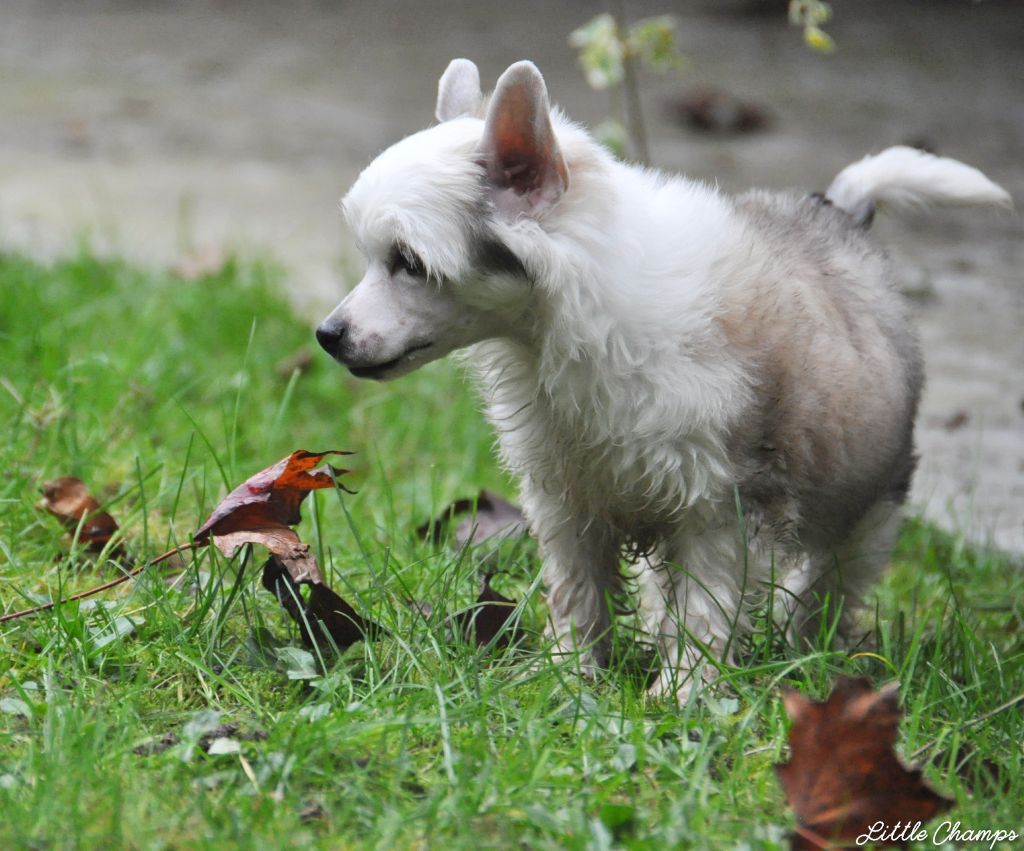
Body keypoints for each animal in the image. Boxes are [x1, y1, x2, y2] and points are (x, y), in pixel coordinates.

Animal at [317, 59, 1007, 700]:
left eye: (409, 263)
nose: (328, 335)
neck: (571, 316)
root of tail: (837, 212)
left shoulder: (724, 507)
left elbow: (707, 603)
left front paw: (683, 694)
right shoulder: (568, 499)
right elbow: (578, 590)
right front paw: (568, 675)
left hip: (869, 500)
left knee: (830, 581)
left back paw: (807, 649)